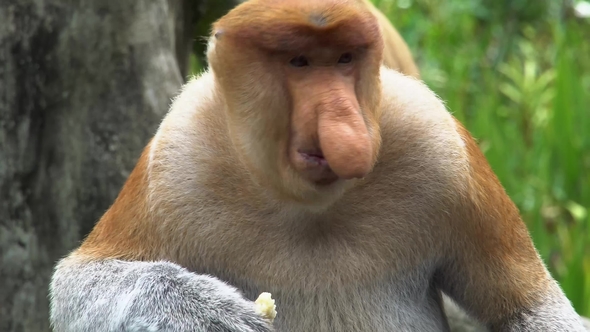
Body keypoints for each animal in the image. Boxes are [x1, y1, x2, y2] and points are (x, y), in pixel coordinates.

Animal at [51, 0, 588, 332]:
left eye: (345, 59)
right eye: (300, 62)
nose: (345, 121)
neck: (310, 206)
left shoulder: (439, 144)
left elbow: (530, 308)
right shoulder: (177, 154)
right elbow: (78, 284)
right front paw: (210, 314)